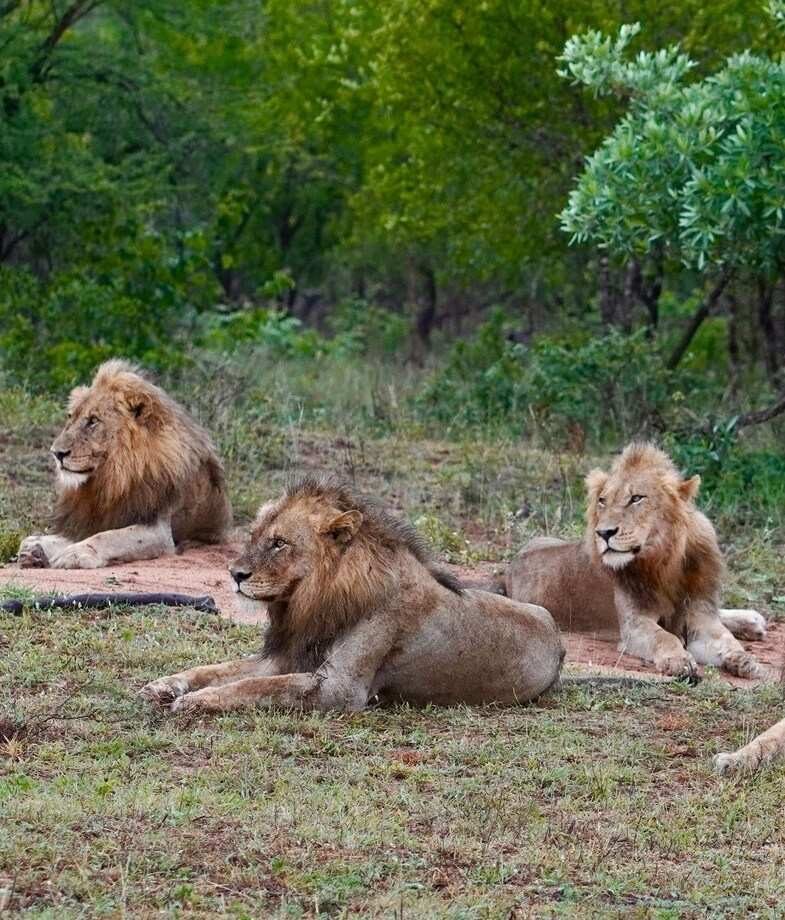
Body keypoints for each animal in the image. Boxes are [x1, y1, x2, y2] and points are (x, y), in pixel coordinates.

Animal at [18, 359, 232, 569]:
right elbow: (73, 535)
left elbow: (109, 536)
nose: (57, 453)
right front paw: (36, 547)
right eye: (70, 417)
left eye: (93, 421)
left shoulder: (159, 531)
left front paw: (75, 554)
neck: (113, 477)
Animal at [141, 476, 565, 713]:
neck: (312, 603)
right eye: (255, 536)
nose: (235, 574)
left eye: (279, 543)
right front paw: (164, 686)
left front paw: (196, 701)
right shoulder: (286, 657)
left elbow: (256, 687)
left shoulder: (340, 689)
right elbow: (216, 669)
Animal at [506, 443, 763, 680]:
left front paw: (745, 661)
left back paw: (753, 622)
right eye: (602, 500)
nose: (604, 533)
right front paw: (679, 660)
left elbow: (725, 638)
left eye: (636, 498)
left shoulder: (702, 615)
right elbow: (665, 636)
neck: (665, 562)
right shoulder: (634, 624)